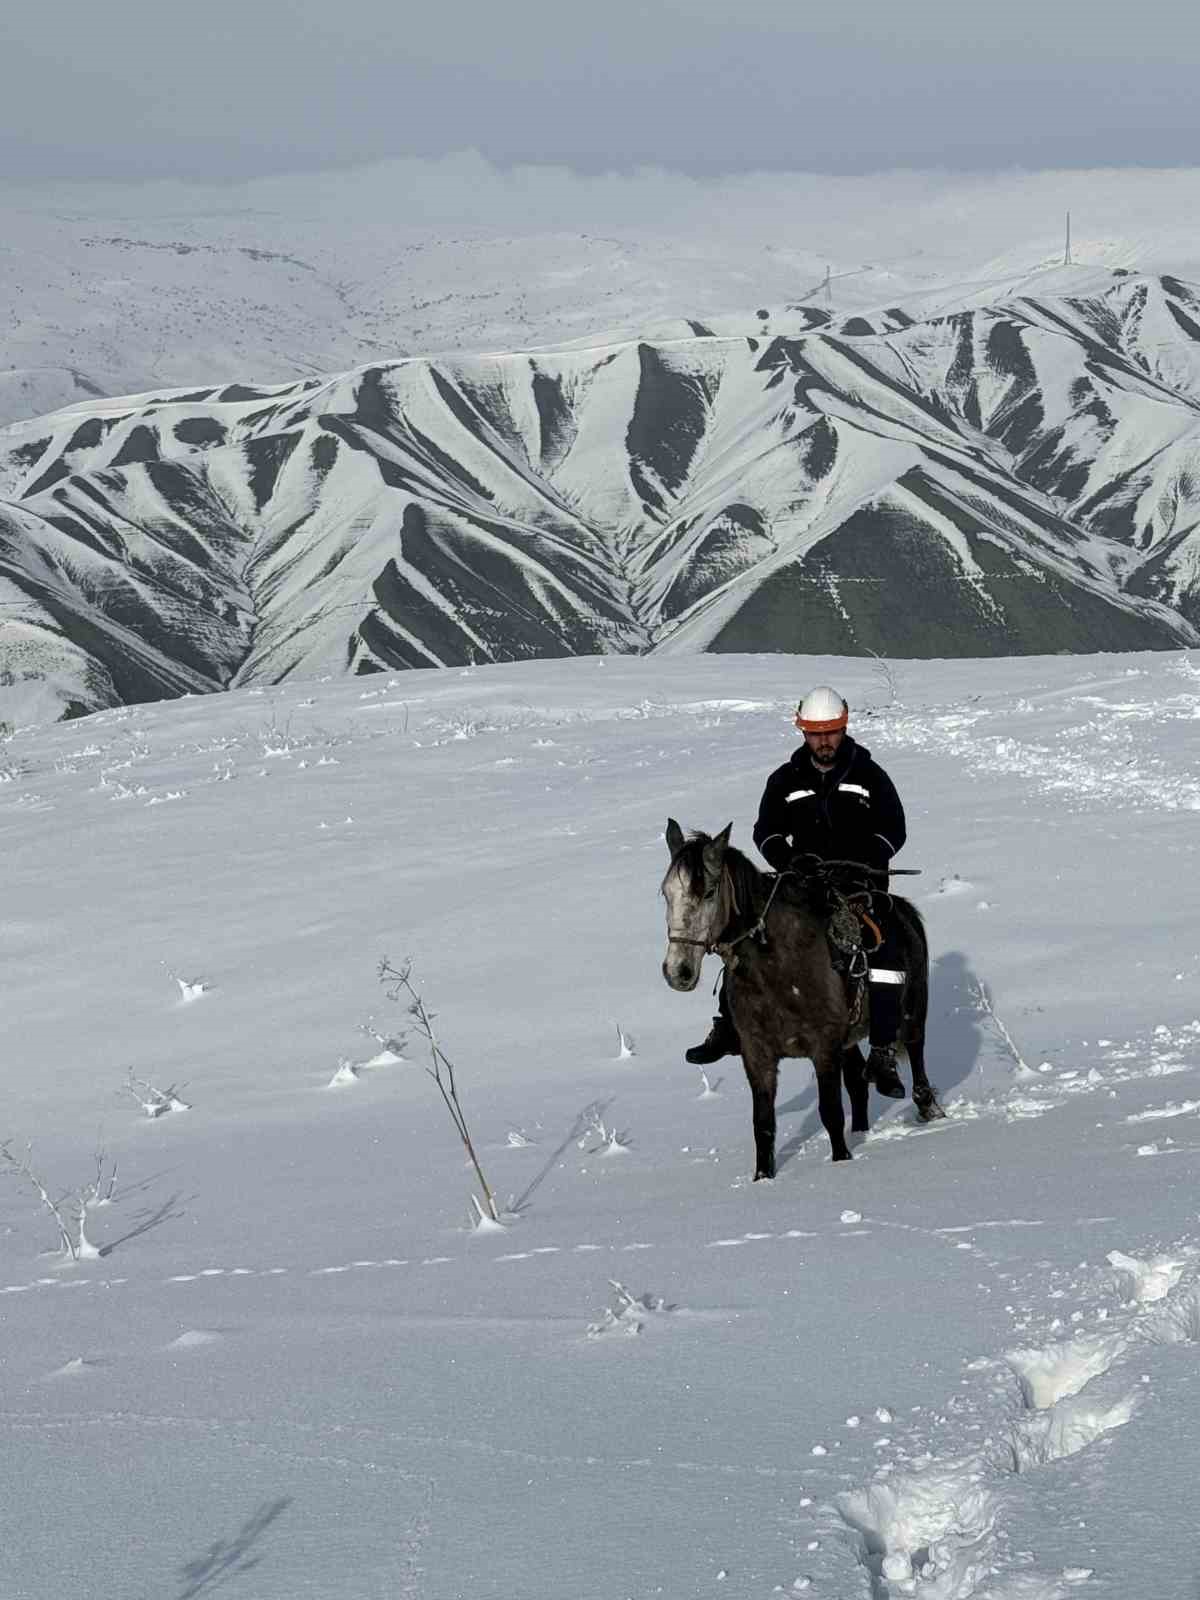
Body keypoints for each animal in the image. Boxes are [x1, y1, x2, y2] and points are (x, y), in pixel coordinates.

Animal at [662, 825, 947, 1177]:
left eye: (709, 893)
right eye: (666, 893)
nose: (678, 972)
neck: (779, 968)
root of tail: (906, 912)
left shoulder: (823, 1048)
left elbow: (830, 1113)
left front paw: (841, 1161)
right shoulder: (758, 1055)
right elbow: (763, 1124)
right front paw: (763, 1178)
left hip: (913, 1011)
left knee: (915, 1054)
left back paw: (926, 1106)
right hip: (848, 1040)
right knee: (857, 1082)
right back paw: (862, 1131)